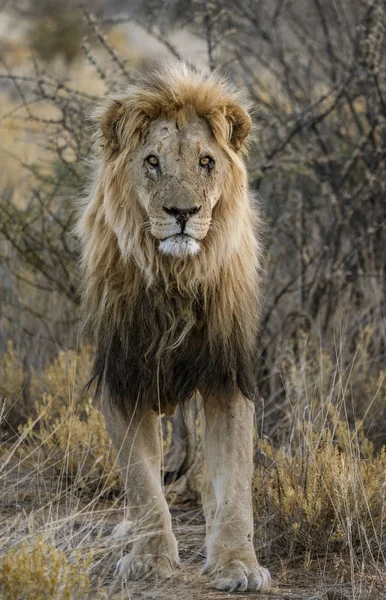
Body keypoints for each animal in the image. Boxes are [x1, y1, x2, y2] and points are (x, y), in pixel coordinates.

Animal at [77, 63, 272, 592]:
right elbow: (142, 483)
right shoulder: (123, 376)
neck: (175, 280)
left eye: (206, 162)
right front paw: (149, 558)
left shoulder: (228, 376)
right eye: (152, 162)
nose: (182, 213)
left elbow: (235, 480)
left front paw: (237, 563)